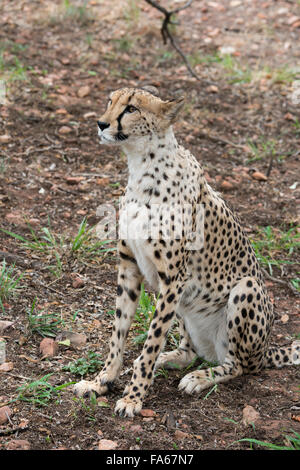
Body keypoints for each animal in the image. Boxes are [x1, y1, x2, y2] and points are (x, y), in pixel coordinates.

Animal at [73, 86, 300, 416]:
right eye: (110, 101)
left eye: (131, 109)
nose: (102, 124)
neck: (141, 166)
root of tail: (267, 349)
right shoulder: (129, 268)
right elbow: (118, 333)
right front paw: (101, 381)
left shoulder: (173, 279)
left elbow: (151, 341)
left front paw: (133, 397)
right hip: (186, 304)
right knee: (191, 350)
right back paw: (173, 358)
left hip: (246, 289)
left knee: (240, 366)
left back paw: (199, 377)